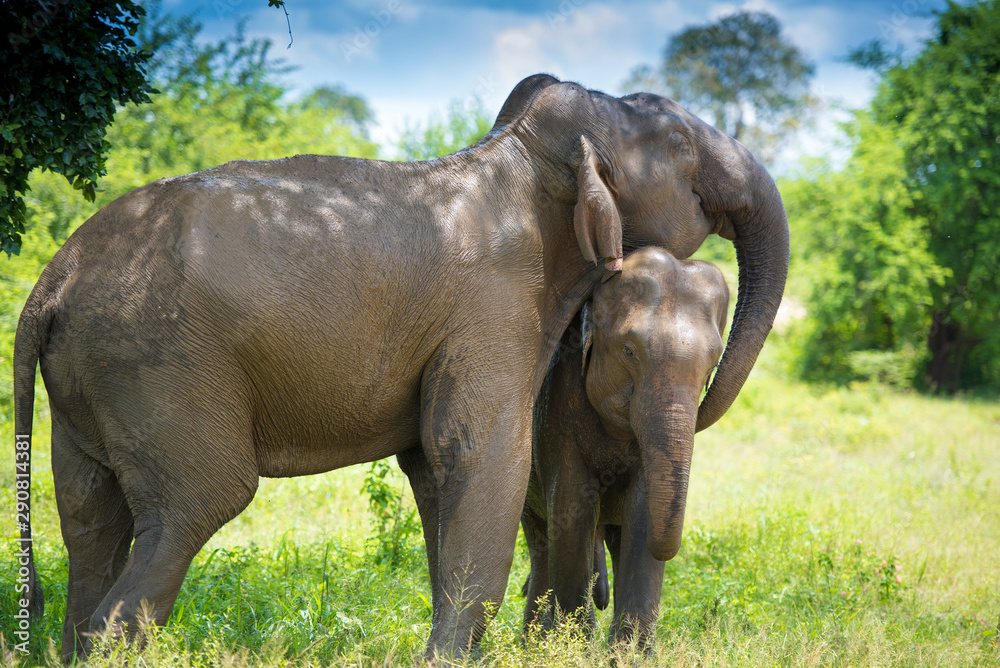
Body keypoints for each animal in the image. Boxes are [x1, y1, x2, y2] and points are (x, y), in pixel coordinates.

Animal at [520, 246, 731, 649]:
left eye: (713, 362)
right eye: (629, 350)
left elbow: (643, 511)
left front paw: (628, 653)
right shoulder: (557, 411)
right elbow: (572, 509)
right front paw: (576, 650)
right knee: (541, 542)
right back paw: (533, 645)